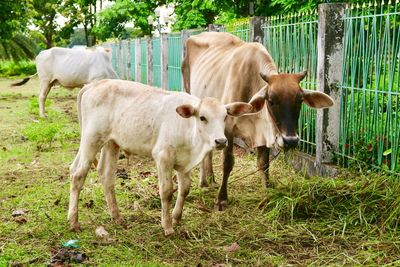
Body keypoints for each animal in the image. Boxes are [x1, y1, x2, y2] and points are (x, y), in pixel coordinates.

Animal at [183, 31, 332, 211]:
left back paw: (210, 178)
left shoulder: (262, 133)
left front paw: (268, 195)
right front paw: (221, 199)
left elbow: (264, 164)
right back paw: (204, 181)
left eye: (300, 100)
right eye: (271, 100)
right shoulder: (227, 131)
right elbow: (227, 163)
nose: (290, 141)